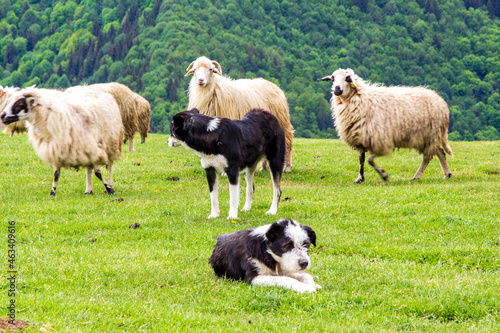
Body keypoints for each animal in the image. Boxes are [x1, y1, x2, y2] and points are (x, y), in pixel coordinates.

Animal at [320, 67, 454, 182]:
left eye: (347, 78)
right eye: (332, 78)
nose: (337, 89)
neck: (360, 99)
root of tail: (441, 102)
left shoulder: (379, 139)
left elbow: (370, 160)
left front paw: (383, 175)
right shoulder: (361, 137)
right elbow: (361, 159)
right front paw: (360, 178)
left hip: (430, 135)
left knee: (428, 156)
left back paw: (417, 176)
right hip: (429, 137)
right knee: (440, 152)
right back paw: (447, 174)